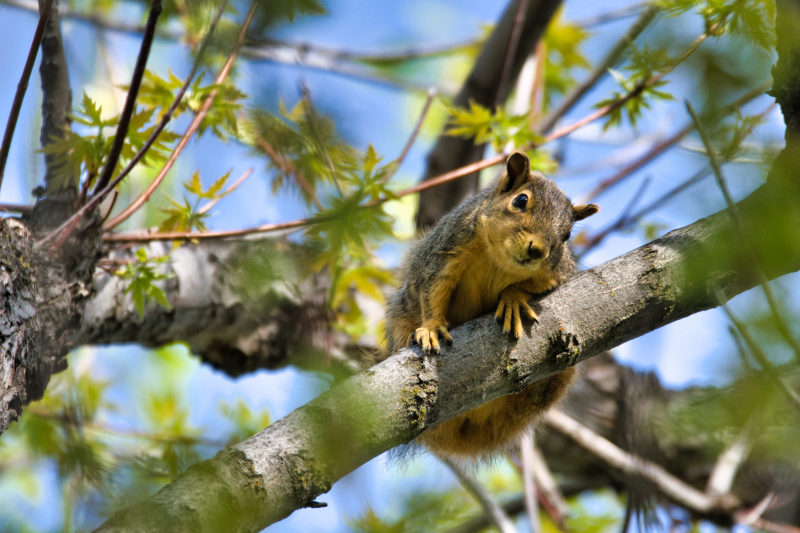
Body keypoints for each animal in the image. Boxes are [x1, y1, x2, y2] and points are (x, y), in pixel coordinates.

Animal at [384, 151, 596, 458]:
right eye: (520, 201)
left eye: (567, 234)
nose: (537, 250)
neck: (500, 259)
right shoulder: (447, 248)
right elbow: (432, 290)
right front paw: (432, 327)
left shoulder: (559, 271)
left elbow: (531, 285)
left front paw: (513, 298)